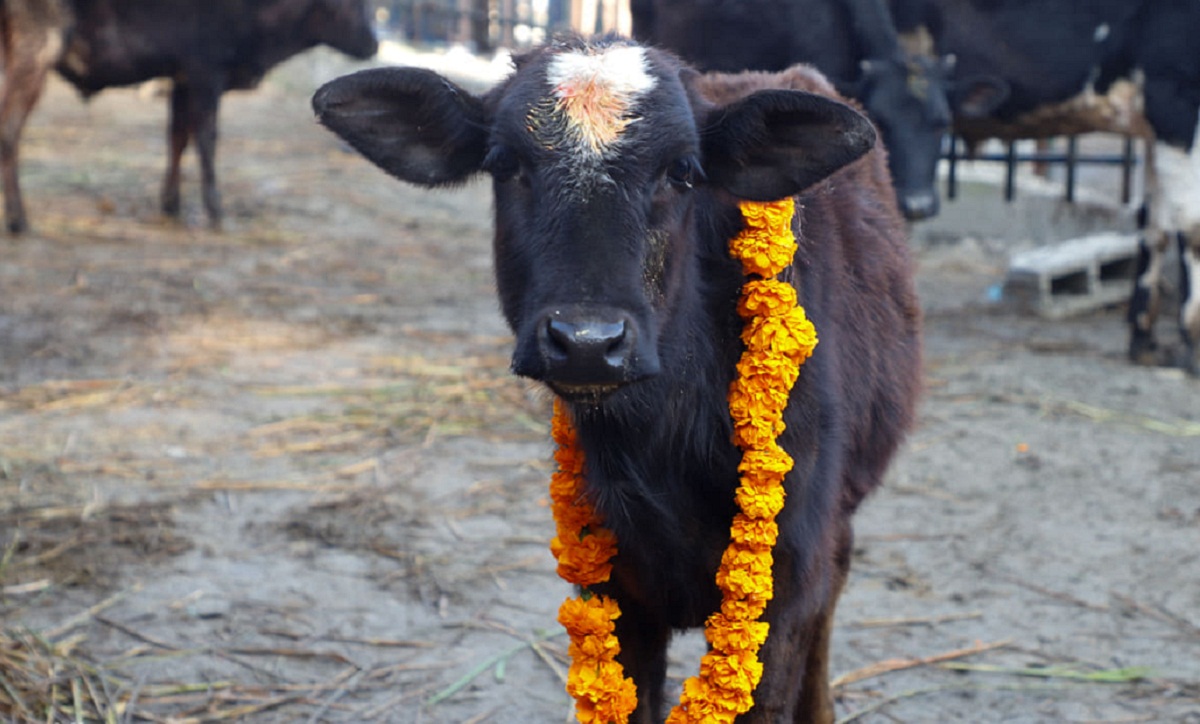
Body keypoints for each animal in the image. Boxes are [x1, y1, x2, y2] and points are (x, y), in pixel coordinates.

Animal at [312, 33, 916, 724]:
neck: (667, 440)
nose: (586, 344)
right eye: (504, 163)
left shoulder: (791, 580)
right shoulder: (617, 589)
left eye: (682, 170)